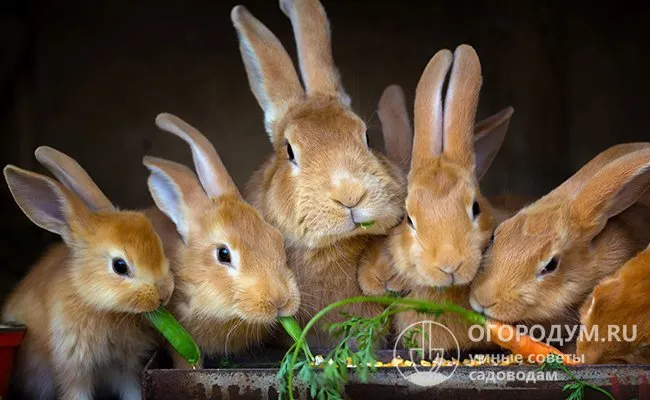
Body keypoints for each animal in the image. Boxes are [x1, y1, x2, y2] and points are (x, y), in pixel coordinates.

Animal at [2, 151, 173, 400]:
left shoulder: (125, 366)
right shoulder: (73, 367)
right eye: (120, 266)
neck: (99, 306)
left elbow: (131, 389)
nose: (164, 294)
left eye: (159, 244)